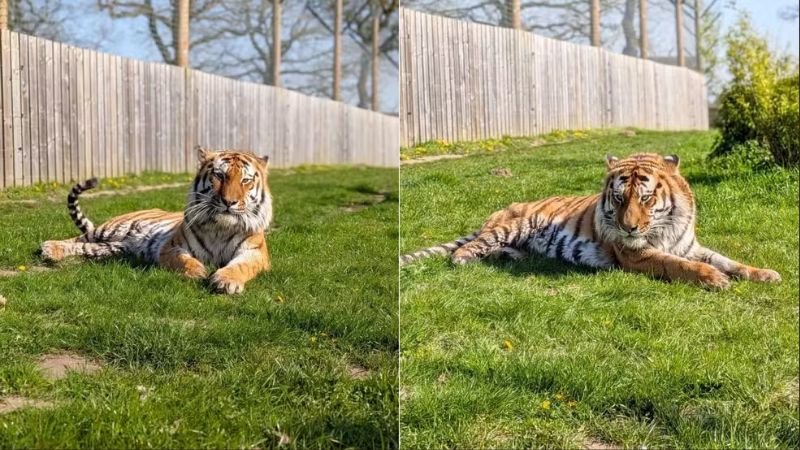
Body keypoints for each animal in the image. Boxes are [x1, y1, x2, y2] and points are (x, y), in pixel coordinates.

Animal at [40, 146, 273, 294]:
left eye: (245, 180)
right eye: (219, 175)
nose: (229, 202)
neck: (221, 227)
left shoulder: (255, 253)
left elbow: (240, 267)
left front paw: (226, 281)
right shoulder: (171, 247)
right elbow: (184, 260)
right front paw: (197, 272)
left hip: (114, 247)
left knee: (86, 247)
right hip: (110, 229)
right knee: (78, 238)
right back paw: (49, 248)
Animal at [400, 153, 781, 289]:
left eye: (645, 198)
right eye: (619, 198)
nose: (628, 227)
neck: (667, 226)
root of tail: (499, 211)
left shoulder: (691, 246)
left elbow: (729, 260)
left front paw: (765, 274)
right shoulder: (636, 255)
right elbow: (678, 265)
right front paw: (714, 279)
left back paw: (516, 257)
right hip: (512, 226)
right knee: (473, 247)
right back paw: (464, 260)